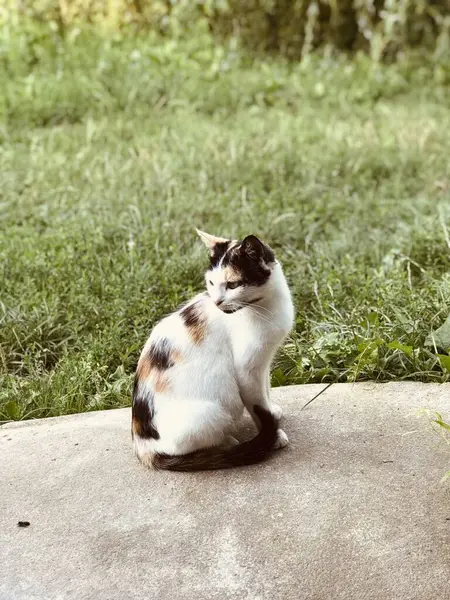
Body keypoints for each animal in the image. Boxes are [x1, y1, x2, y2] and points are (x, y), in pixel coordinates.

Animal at [133, 232, 296, 472]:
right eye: (211, 282)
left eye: (232, 284)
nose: (217, 301)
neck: (265, 306)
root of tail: (143, 446)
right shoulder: (247, 371)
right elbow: (256, 405)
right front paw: (274, 436)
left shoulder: (264, 361)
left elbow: (265, 390)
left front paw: (272, 411)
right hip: (211, 413)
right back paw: (228, 442)